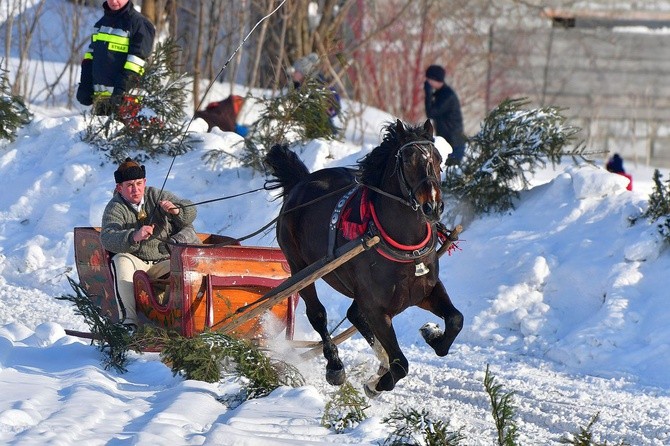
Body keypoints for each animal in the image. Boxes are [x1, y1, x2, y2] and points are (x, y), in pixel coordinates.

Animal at [266, 118, 464, 398]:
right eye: (408, 160)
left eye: (438, 159)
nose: (433, 206)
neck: (404, 246)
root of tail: (301, 182)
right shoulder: (376, 308)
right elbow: (400, 364)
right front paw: (377, 383)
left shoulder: (426, 290)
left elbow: (456, 320)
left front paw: (432, 335)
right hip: (298, 267)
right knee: (318, 314)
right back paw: (335, 365)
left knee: (353, 314)